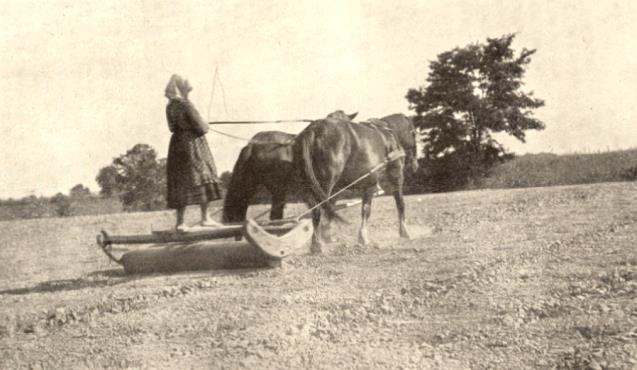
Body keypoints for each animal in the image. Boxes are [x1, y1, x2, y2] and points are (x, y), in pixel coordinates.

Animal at [292, 112, 418, 251]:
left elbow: (334, 209)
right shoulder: (390, 178)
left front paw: (328, 237)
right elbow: (394, 204)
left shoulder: (344, 188)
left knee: (317, 209)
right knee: (318, 208)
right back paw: (316, 245)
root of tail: (313, 129)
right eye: (414, 133)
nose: (415, 165)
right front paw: (403, 232)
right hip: (326, 183)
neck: (389, 136)